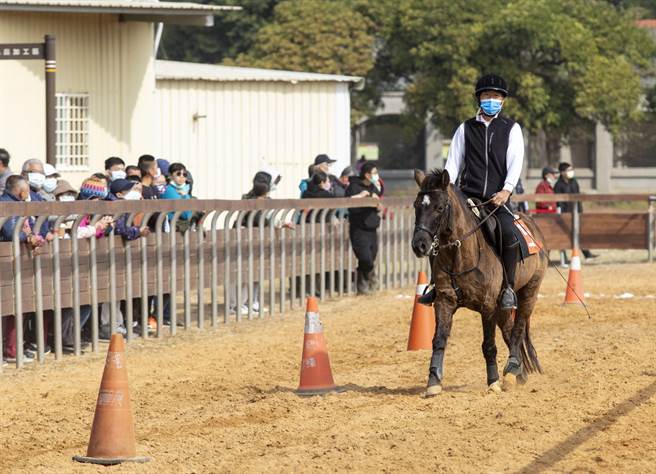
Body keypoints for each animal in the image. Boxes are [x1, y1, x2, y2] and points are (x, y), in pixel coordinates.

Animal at [411, 169, 548, 396]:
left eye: (439, 207)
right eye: (416, 205)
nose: (419, 245)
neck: (461, 254)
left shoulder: (488, 306)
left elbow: (488, 345)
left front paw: (493, 382)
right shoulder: (444, 301)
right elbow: (438, 340)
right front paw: (433, 382)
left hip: (529, 292)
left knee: (518, 329)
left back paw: (512, 368)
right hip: (503, 306)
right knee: (509, 330)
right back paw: (518, 373)